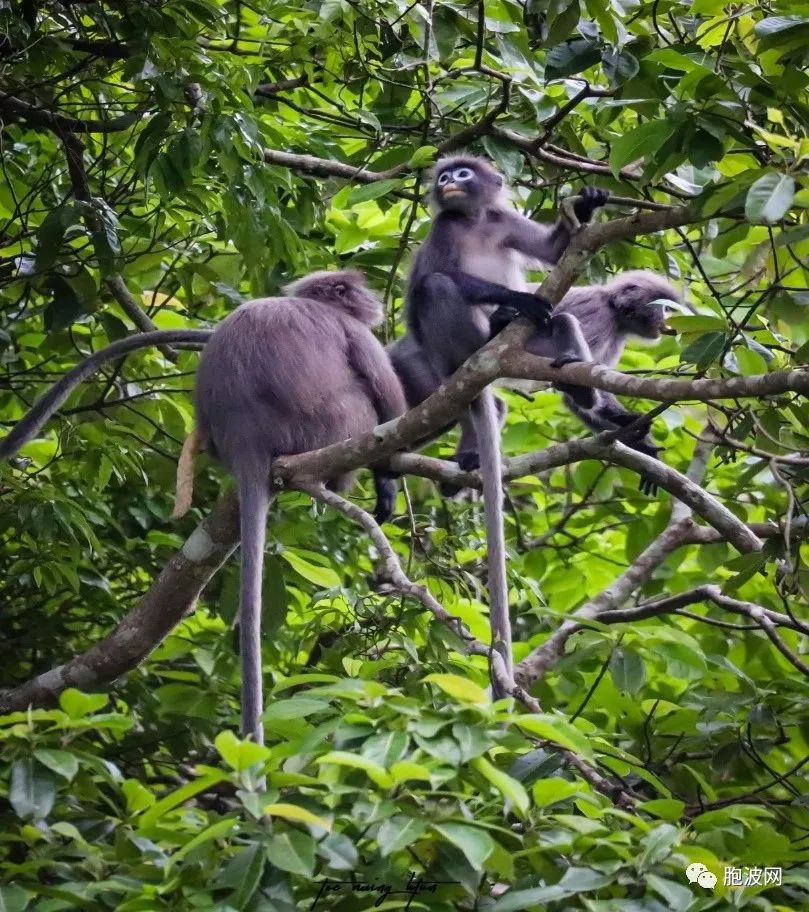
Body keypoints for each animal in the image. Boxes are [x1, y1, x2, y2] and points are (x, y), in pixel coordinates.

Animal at [398, 153, 608, 692]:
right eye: (445, 176)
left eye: (462, 174)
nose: (447, 181)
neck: (473, 221)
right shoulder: (444, 228)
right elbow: (437, 276)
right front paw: (522, 298)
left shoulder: (502, 220)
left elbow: (554, 252)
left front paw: (587, 203)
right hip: (447, 357)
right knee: (438, 287)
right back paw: (492, 329)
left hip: (525, 350)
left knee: (561, 323)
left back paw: (577, 382)